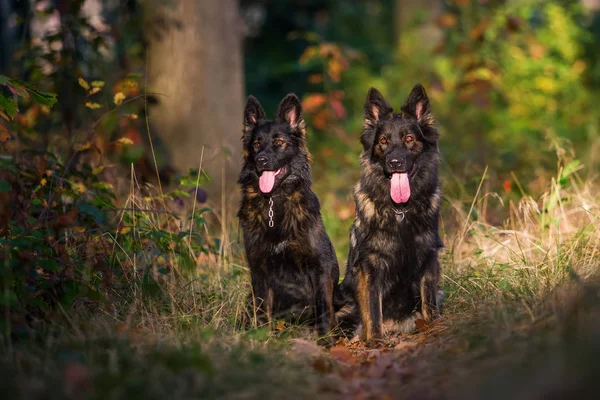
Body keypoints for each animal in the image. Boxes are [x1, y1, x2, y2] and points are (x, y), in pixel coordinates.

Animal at [238, 94, 340, 340]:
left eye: (279, 142)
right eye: (256, 144)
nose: (261, 160)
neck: (274, 201)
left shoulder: (320, 265)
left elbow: (324, 306)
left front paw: (326, 339)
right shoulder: (259, 268)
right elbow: (262, 308)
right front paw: (262, 336)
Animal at [338, 83, 446, 340]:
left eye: (409, 139)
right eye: (384, 142)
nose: (395, 162)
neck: (400, 211)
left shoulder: (428, 255)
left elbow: (428, 301)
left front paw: (434, 326)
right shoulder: (370, 265)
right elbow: (372, 308)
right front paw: (375, 340)